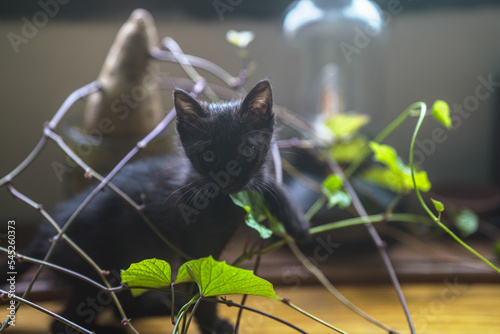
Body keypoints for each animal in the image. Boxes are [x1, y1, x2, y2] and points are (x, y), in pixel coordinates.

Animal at [4, 79, 308, 334]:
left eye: (247, 151)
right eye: (208, 156)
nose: (229, 178)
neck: (224, 201)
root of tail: (46, 236)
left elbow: (270, 186)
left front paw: (299, 226)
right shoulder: (196, 248)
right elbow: (201, 289)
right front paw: (212, 324)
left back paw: (159, 305)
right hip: (93, 269)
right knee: (66, 320)